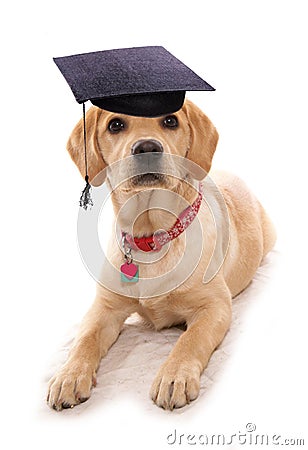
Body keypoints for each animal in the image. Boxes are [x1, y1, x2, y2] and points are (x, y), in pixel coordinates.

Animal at [47, 99, 276, 412]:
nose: (147, 148)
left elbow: (190, 340)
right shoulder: (105, 308)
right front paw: (68, 375)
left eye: (170, 121)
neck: (152, 238)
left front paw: (174, 375)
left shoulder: (215, 306)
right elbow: (84, 340)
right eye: (115, 125)